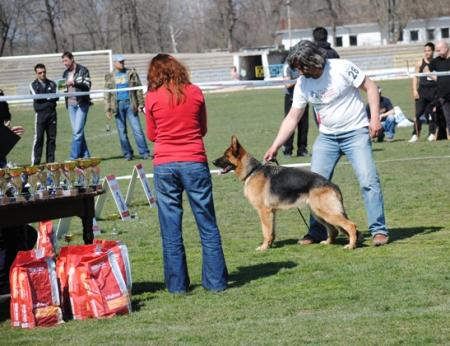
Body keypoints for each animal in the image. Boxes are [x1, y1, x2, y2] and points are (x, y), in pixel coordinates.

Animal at [213, 137, 360, 250]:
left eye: (226, 156)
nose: (213, 161)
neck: (252, 171)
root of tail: (332, 184)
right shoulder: (272, 212)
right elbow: (271, 231)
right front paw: (270, 245)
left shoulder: (263, 211)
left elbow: (265, 231)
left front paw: (264, 247)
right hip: (318, 213)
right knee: (334, 229)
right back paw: (328, 243)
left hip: (325, 212)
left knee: (350, 225)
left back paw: (351, 246)